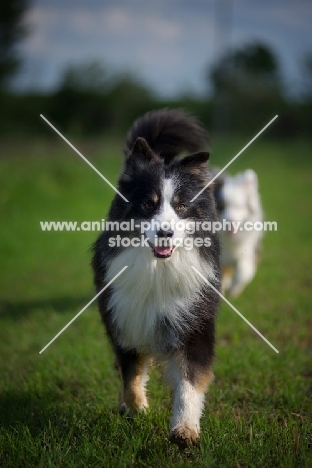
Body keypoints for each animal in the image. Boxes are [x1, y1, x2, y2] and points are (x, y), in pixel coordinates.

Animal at [91, 109, 221, 446]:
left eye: (181, 205)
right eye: (149, 204)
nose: (165, 232)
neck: (158, 269)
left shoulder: (194, 324)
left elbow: (190, 382)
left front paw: (184, 430)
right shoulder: (123, 318)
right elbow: (131, 373)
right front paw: (137, 407)